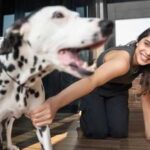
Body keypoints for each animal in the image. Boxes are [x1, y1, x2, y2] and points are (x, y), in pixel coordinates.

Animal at [0, 5, 113, 150]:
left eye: (77, 15)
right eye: (58, 15)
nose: (108, 24)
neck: (19, 81)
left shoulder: (41, 123)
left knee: (8, 124)